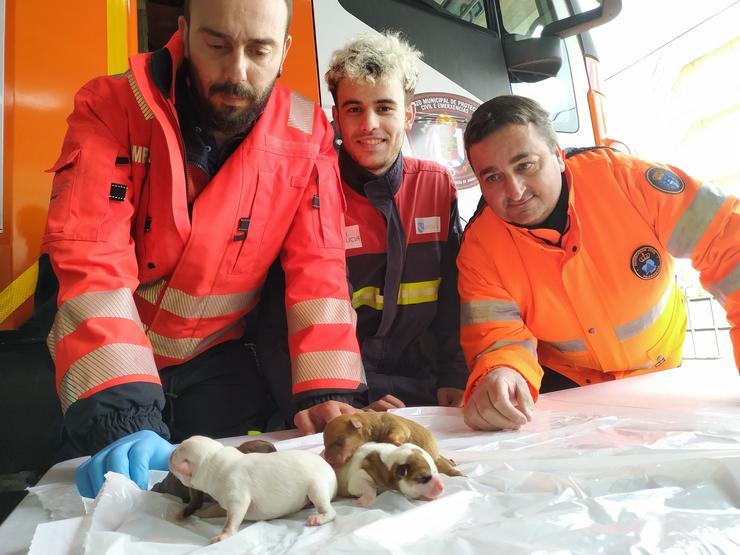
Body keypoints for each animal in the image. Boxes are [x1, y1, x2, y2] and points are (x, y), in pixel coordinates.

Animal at [169, 436, 336, 540]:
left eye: (175, 454)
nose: (170, 454)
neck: (213, 459)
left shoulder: (237, 495)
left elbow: (232, 518)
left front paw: (224, 535)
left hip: (317, 486)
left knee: (329, 510)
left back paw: (319, 517)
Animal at [324, 412, 462, 478]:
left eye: (340, 441)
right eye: (325, 444)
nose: (328, 460)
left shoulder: (396, 425)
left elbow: (393, 436)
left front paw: (398, 443)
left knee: (447, 467)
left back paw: (458, 472)